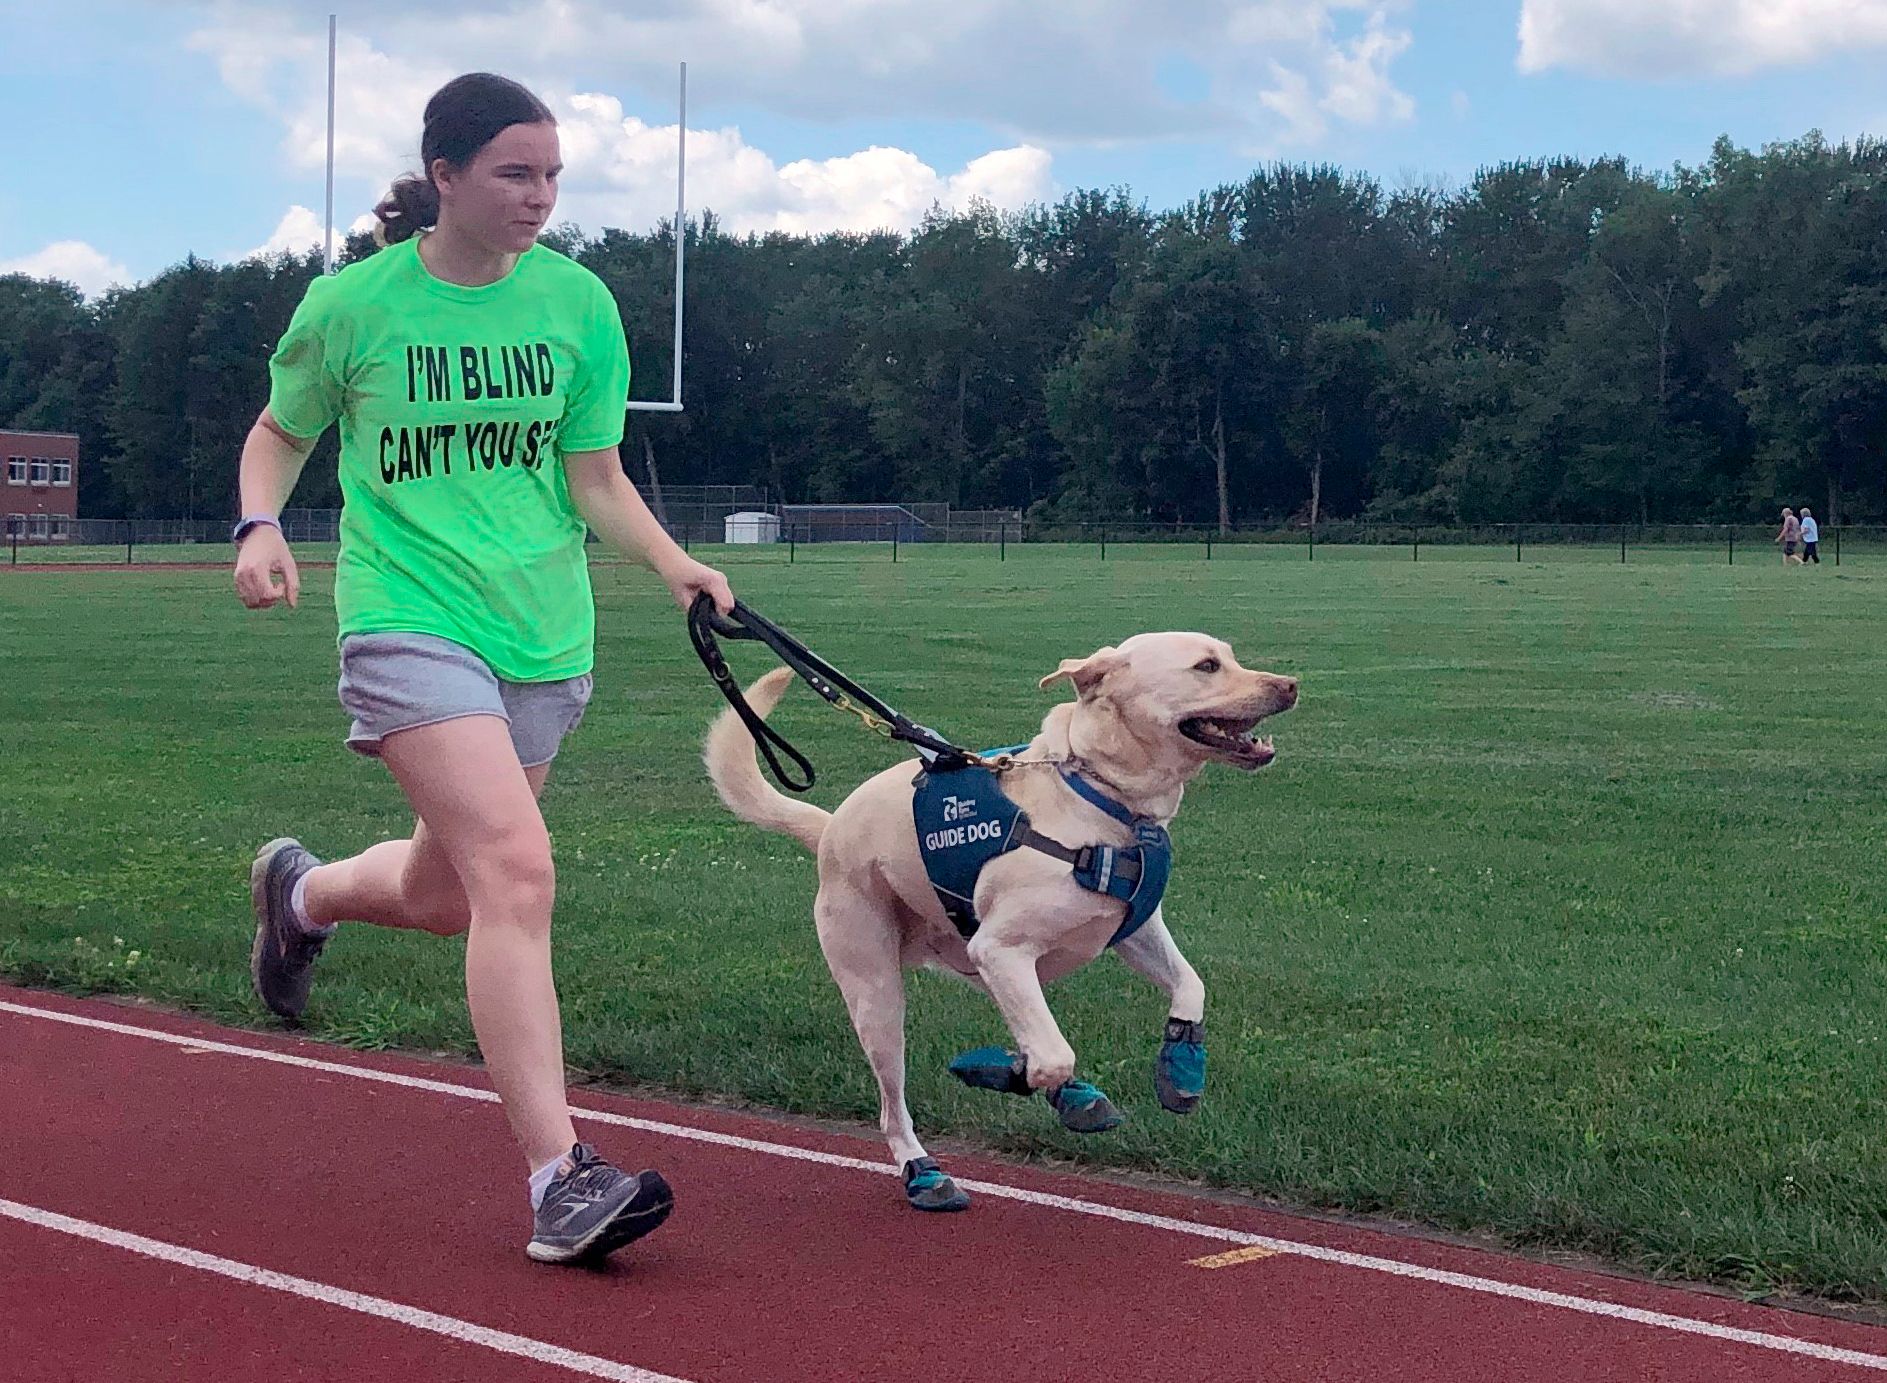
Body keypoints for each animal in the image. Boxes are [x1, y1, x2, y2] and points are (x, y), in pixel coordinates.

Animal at [705, 633, 1298, 1207]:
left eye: (1230, 657)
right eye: (1206, 666)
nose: (1290, 685)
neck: (1098, 798)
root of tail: (829, 829)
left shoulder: (1130, 931)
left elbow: (1189, 985)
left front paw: (1181, 1063)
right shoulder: (1000, 950)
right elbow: (1051, 1057)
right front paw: (999, 1071)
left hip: (979, 965)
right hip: (878, 993)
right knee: (894, 1106)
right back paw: (923, 1170)